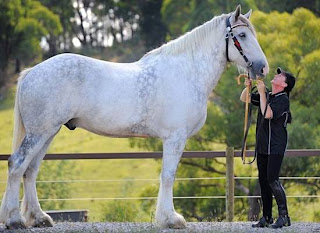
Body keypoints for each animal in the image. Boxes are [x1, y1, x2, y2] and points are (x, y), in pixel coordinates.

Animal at [0, 5, 268, 229]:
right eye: (242, 35)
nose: (262, 68)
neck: (186, 72)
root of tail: (31, 72)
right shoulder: (175, 137)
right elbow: (168, 176)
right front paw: (171, 219)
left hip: (48, 132)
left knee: (31, 170)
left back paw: (39, 218)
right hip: (40, 132)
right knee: (17, 165)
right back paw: (14, 220)